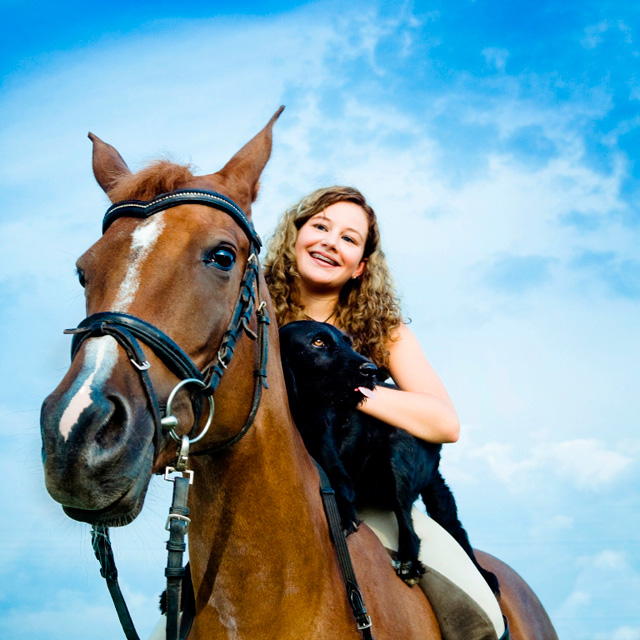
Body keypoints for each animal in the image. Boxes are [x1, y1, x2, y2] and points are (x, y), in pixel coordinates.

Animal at [282, 318, 500, 592]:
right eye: (318, 342)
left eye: (348, 342)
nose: (371, 370)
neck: (302, 412)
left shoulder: (335, 466)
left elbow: (339, 488)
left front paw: (342, 515)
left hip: (398, 456)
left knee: (409, 527)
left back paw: (408, 563)